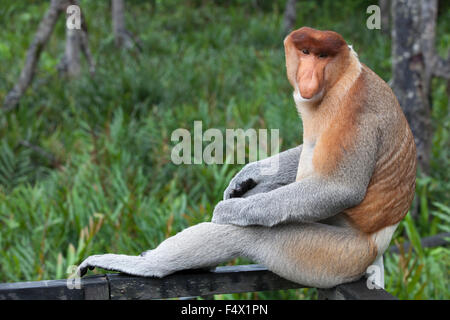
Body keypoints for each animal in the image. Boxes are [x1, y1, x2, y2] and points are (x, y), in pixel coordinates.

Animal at [78, 26, 418, 288]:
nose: (309, 75)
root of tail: (376, 251)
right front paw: (245, 178)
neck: (341, 80)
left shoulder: (355, 114)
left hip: (334, 256)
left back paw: (148, 265)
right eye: (306, 52)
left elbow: (340, 187)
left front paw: (226, 210)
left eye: (323, 56)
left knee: (247, 235)